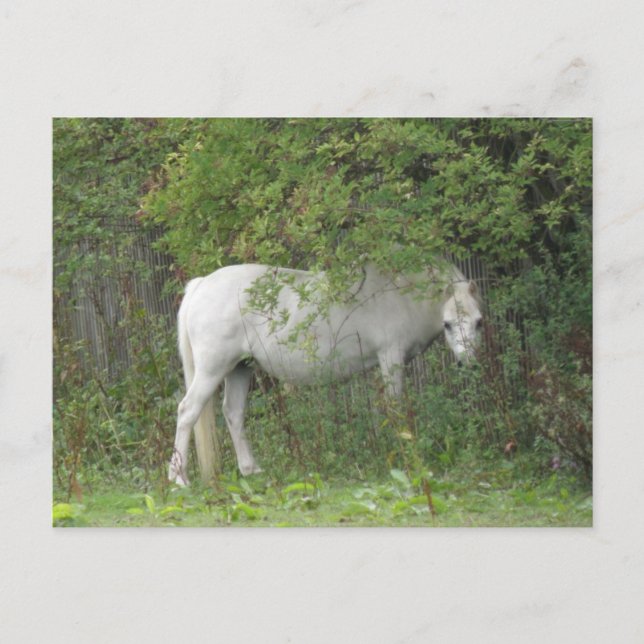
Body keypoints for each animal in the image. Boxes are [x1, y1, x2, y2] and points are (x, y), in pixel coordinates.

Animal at [168, 261, 483, 485]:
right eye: (448, 324)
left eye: (479, 322)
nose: (468, 364)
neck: (400, 293)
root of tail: (201, 285)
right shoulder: (390, 357)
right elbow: (395, 407)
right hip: (212, 369)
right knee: (187, 411)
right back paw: (179, 479)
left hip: (240, 368)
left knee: (233, 412)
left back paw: (251, 470)